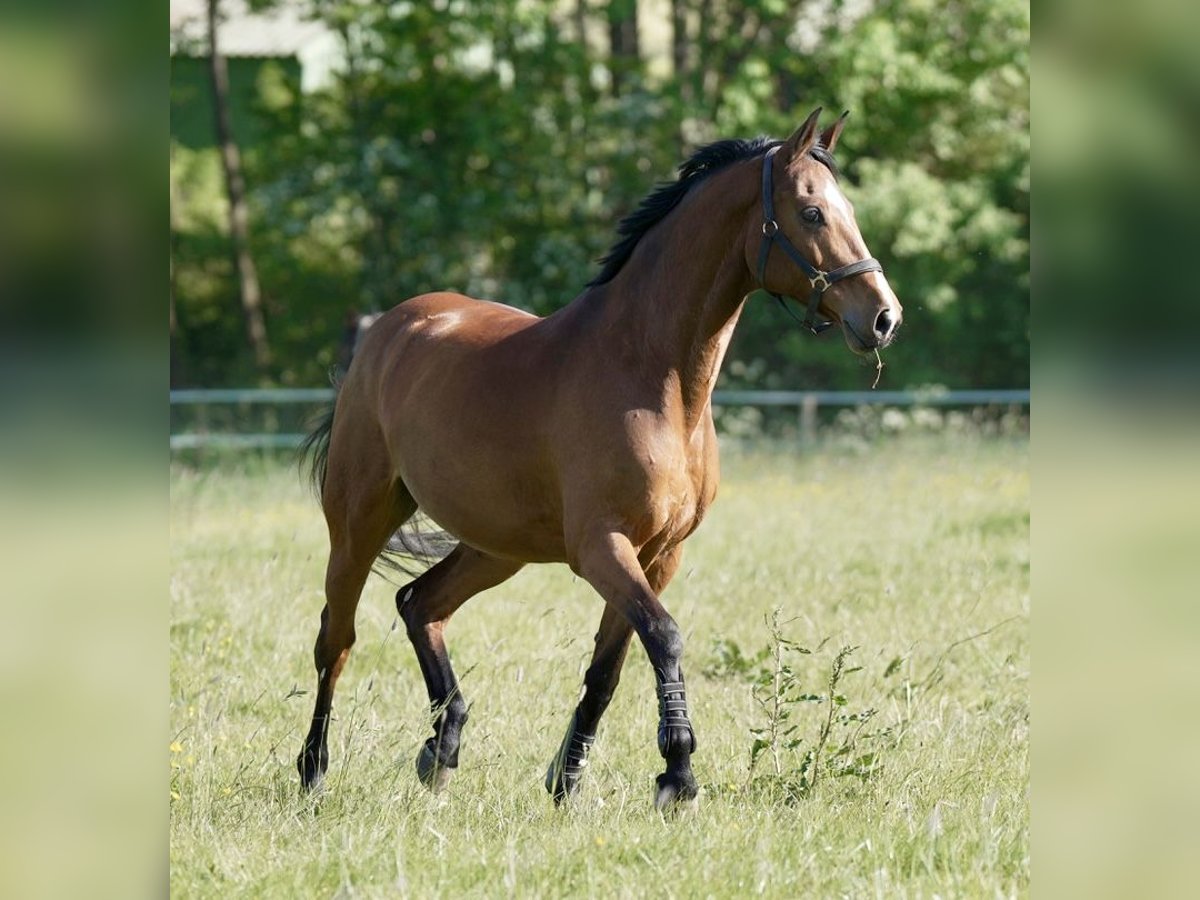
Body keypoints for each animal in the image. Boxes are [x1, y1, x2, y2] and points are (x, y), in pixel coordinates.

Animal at [297, 107, 902, 811]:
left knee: (420, 603)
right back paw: (313, 771)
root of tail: (386, 332)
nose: (884, 317)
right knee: (337, 641)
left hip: (497, 547)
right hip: (359, 524)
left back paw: (442, 750)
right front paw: (678, 776)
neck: (653, 378)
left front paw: (569, 779)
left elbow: (609, 667)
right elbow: (665, 637)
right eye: (811, 212)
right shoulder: (601, 547)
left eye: (847, 208)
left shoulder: (658, 556)